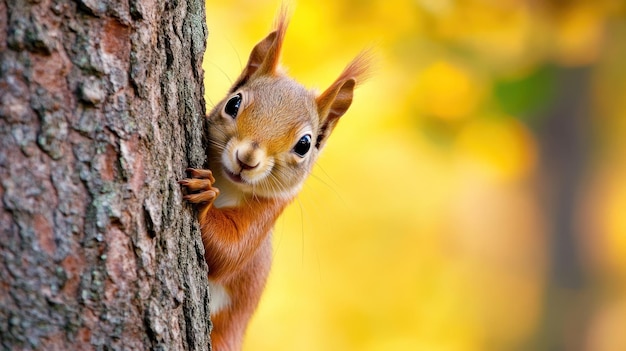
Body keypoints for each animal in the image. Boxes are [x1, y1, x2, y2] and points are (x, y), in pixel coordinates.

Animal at [178, 8, 368, 351]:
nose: (247, 159)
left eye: (304, 144)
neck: (228, 184)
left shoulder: (268, 212)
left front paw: (203, 197)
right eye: (234, 103)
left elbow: (230, 251)